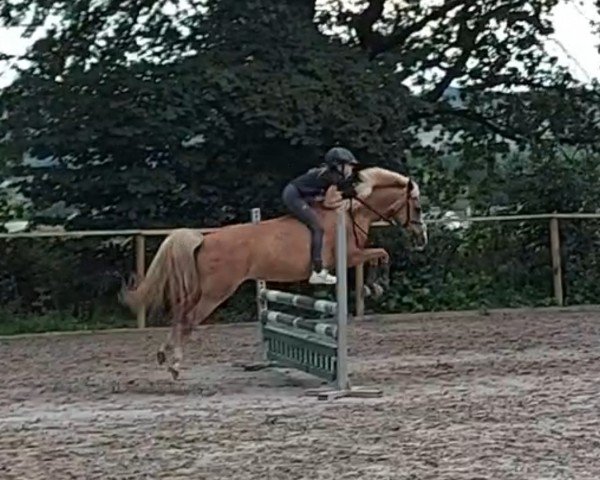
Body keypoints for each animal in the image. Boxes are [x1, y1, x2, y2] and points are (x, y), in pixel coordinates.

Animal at [118, 167, 426, 380]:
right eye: (418, 206)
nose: (422, 239)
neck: (353, 212)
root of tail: (205, 240)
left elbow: (380, 255)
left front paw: (373, 287)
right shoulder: (351, 256)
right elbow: (382, 254)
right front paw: (377, 286)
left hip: (201, 289)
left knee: (180, 313)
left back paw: (163, 354)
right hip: (217, 292)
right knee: (189, 320)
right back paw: (176, 365)